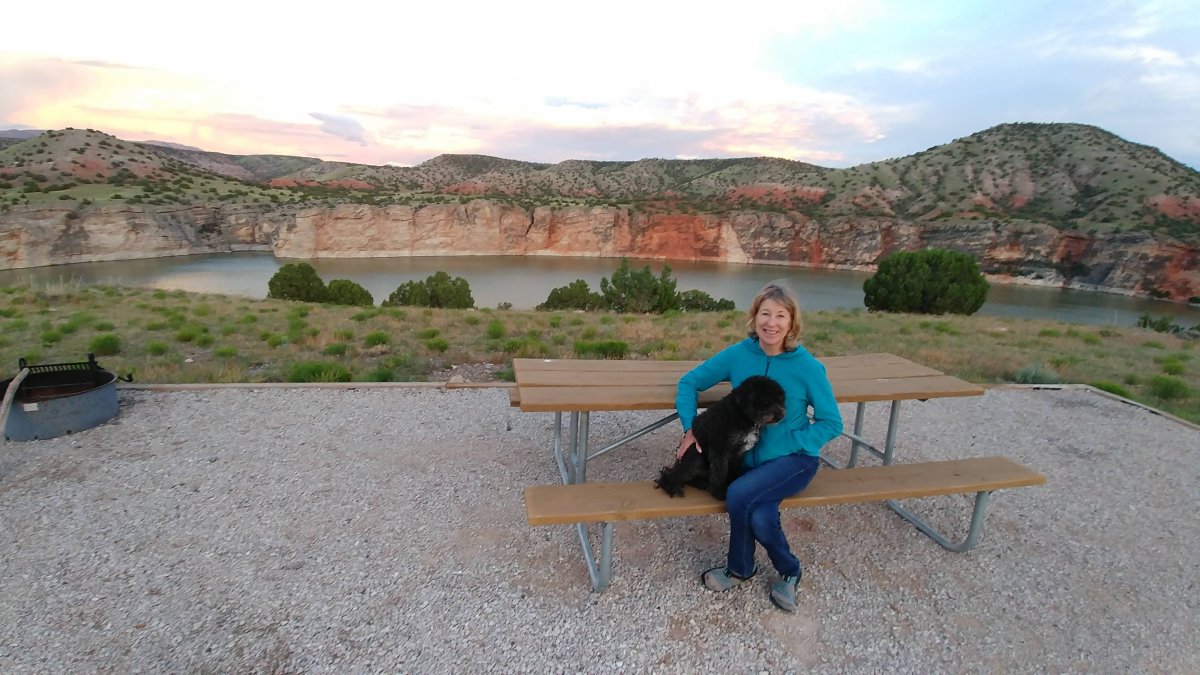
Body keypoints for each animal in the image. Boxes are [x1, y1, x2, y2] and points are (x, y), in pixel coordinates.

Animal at [657, 374, 787, 497]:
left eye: (780, 399)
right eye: (765, 402)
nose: (780, 415)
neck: (741, 414)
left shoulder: (737, 452)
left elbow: (734, 468)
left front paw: (733, 480)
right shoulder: (719, 449)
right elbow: (720, 472)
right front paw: (718, 492)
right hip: (695, 456)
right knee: (670, 474)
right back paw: (672, 486)